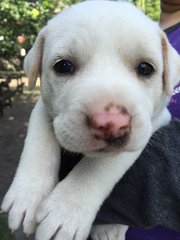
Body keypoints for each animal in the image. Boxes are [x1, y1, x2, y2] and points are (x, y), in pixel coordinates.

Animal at [1, 0, 180, 239]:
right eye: (63, 66)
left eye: (145, 68)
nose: (112, 123)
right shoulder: (43, 106)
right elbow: (39, 138)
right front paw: (27, 195)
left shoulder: (154, 122)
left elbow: (101, 164)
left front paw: (66, 211)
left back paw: (108, 229)